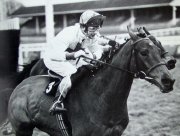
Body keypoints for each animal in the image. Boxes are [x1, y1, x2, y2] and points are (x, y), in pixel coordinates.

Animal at [8, 27, 174, 136]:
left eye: (159, 49)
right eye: (144, 52)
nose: (169, 80)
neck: (102, 98)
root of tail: (19, 87)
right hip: (22, 129)